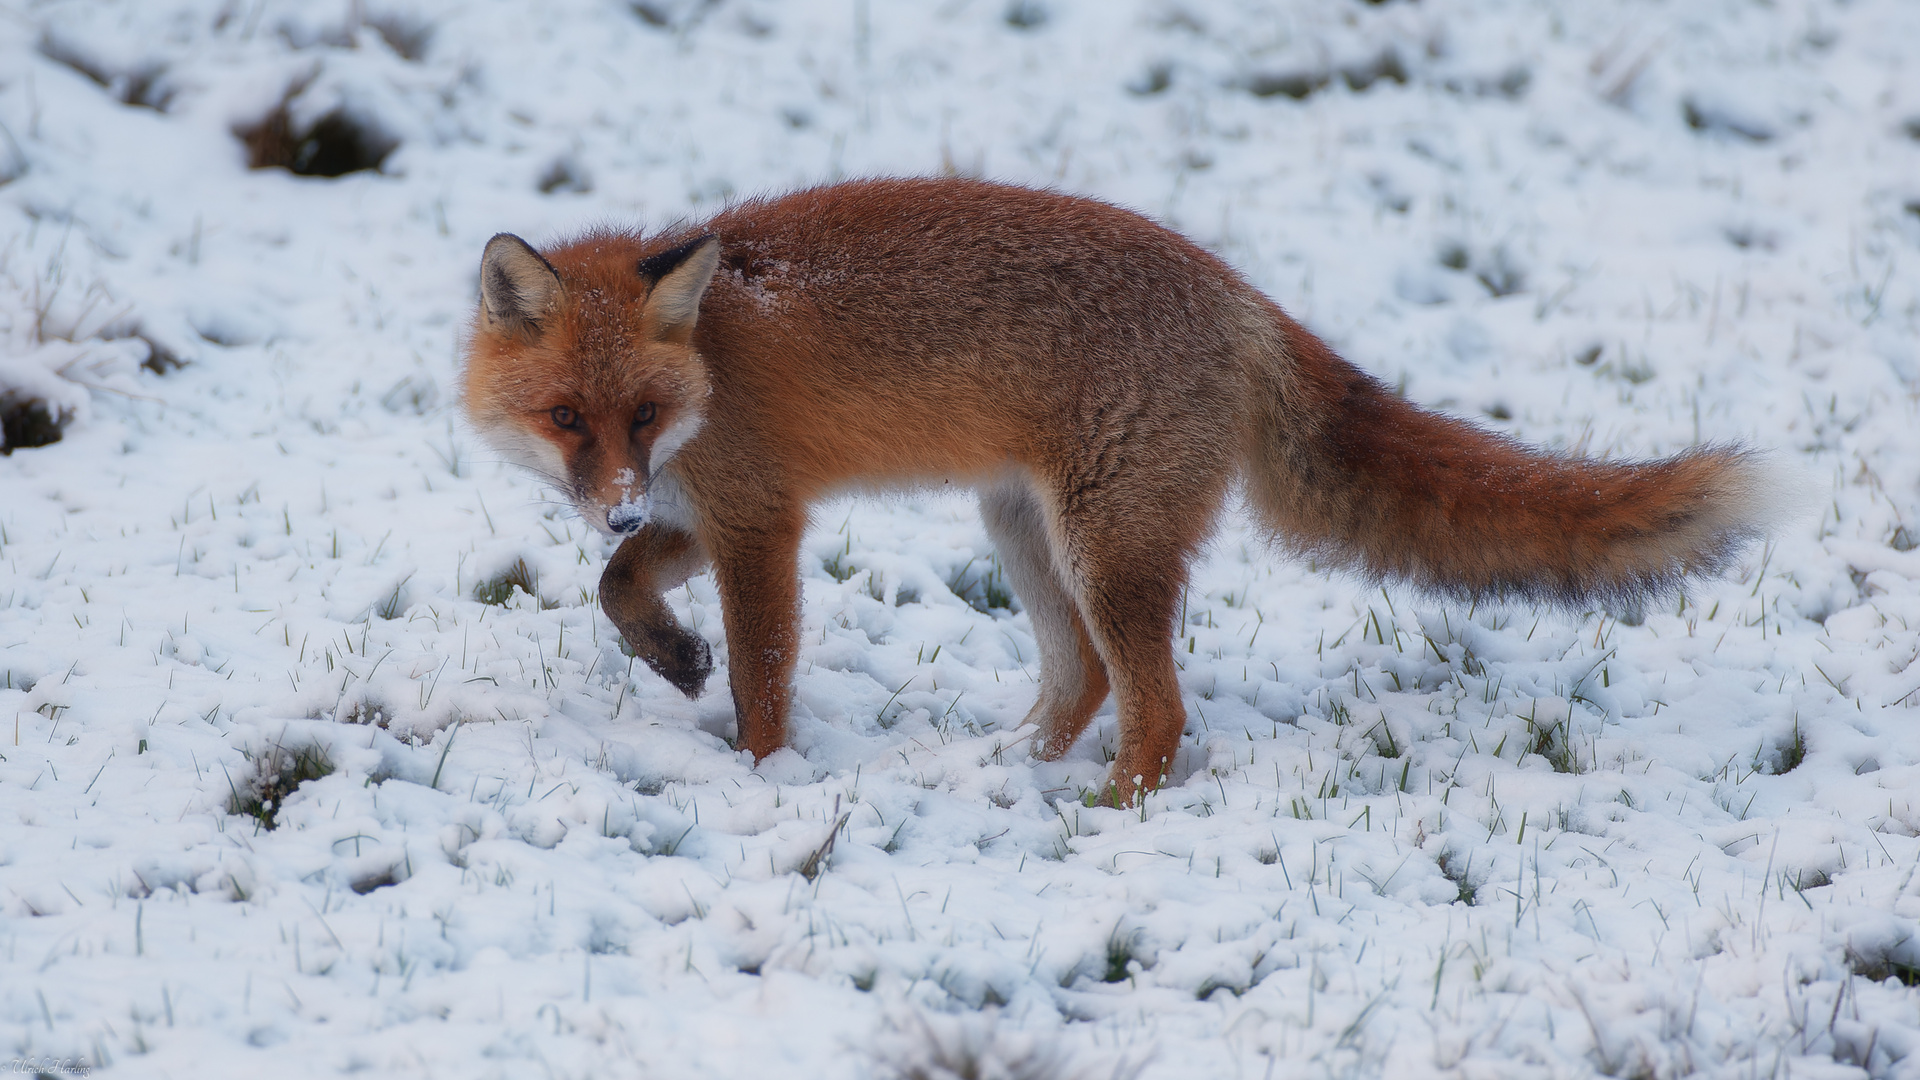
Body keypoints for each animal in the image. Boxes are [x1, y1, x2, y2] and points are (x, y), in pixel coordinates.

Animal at [464, 176, 1766, 799]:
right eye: (569, 418)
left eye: (640, 415)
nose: (620, 496)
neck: (715, 371)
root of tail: (1239, 294)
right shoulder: (704, 514)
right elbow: (614, 586)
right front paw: (672, 657)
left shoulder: (758, 522)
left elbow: (764, 676)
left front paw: (761, 774)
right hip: (1026, 530)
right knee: (1082, 679)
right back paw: (1011, 773)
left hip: (1105, 549)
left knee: (1157, 710)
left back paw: (1104, 814)